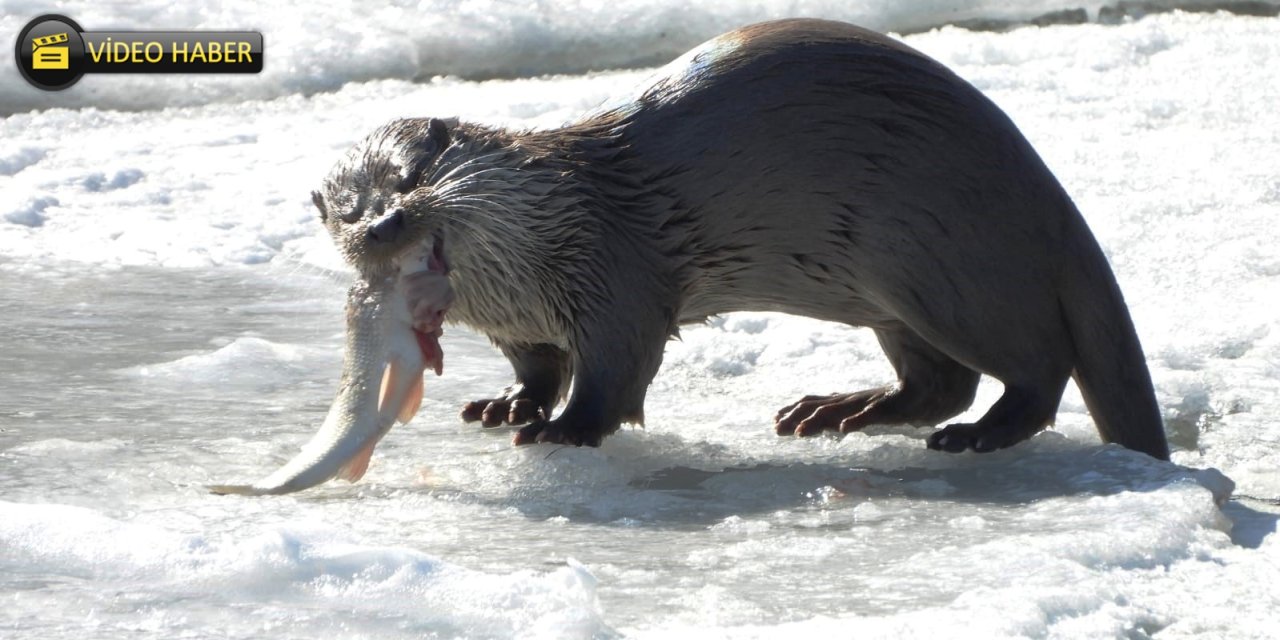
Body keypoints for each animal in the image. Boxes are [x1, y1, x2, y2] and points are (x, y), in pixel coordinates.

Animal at [309, 18, 1172, 460]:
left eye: (412, 174)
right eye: (347, 208)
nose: (385, 223)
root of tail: (1048, 198)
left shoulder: (616, 273)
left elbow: (616, 369)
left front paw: (565, 428)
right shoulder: (519, 322)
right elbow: (539, 366)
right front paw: (507, 403)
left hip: (947, 266)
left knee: (1036, 367)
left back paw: (975, 436)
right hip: (897, 293)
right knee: (940, 381)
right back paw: (837, 412)